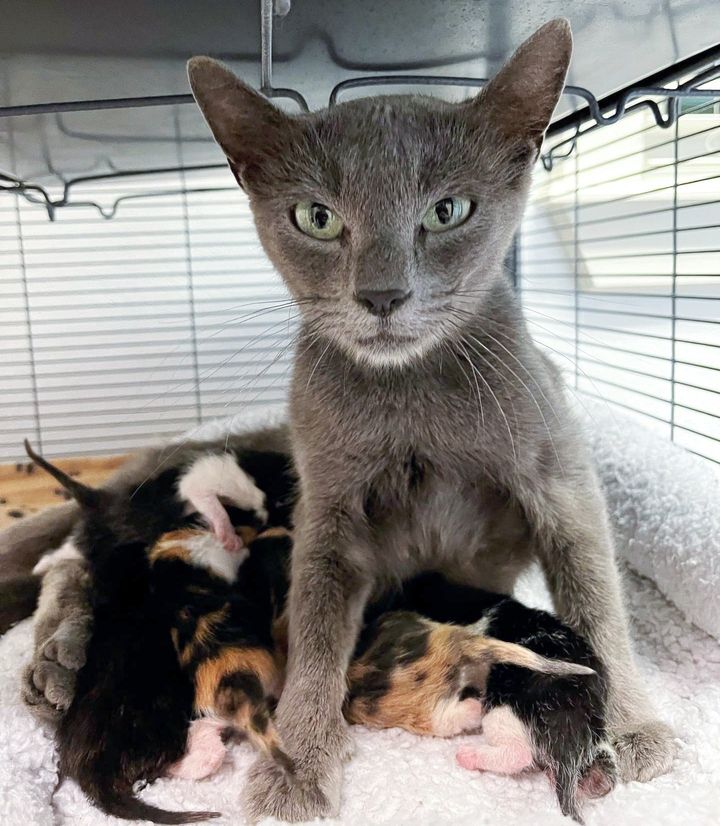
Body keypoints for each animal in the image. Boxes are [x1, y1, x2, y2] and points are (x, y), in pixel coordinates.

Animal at [1, 16, 676, 820]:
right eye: (317, 219)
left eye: (447, 211)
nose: (382, 294)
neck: (412, 394)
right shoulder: (327, 507)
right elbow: (318, 626)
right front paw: (296, 761)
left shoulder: (559, 477)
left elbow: (595, 596)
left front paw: (632, 726)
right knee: (69, 555)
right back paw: (57, 655)